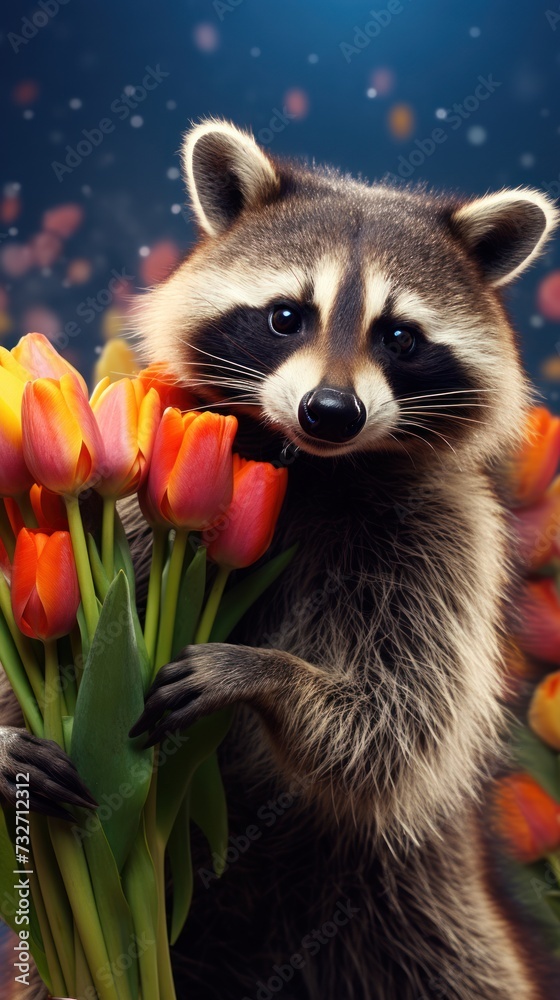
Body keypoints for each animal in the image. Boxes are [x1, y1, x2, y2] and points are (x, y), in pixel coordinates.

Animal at [1, 119, 559, 1000]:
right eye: (286, 316)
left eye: (400, 336)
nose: (330, 411)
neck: (311, 467)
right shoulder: (135, 513)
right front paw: (6, 736)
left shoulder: (448, 540)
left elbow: (399, 714)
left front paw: (270, 676)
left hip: (421, 908)